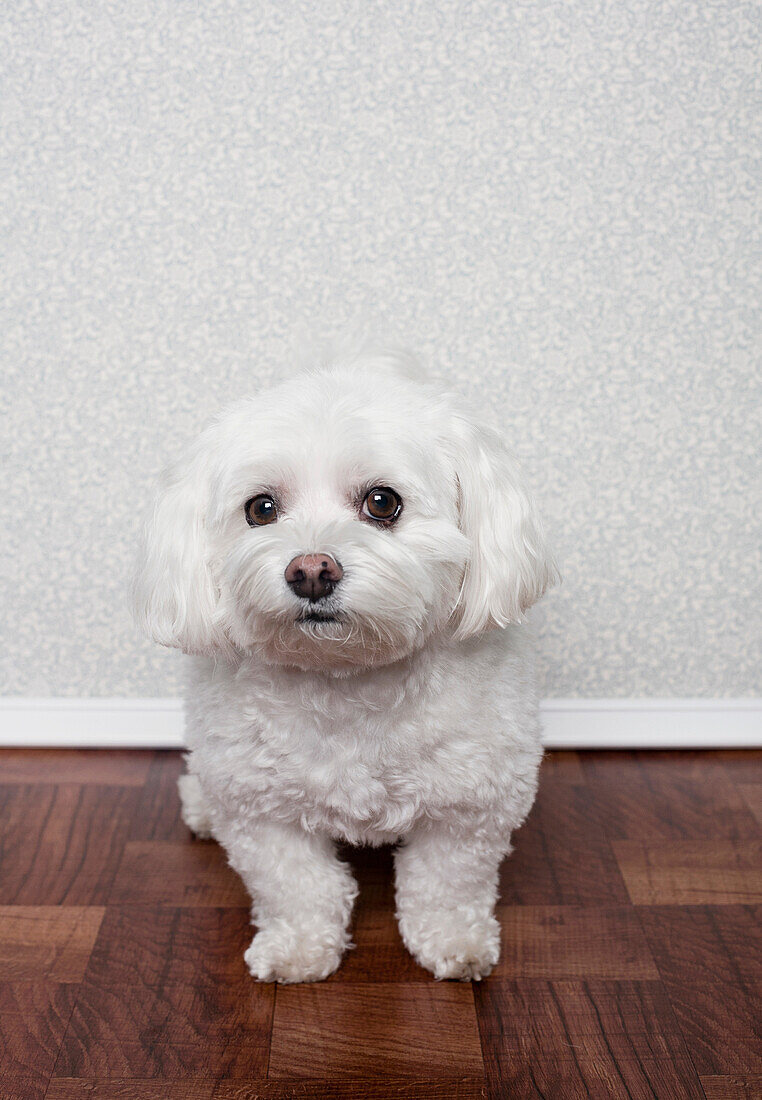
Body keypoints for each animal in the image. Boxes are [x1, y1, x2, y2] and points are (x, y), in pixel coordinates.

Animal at [133, 341, 556, 981]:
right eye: (261, 509)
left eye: (382, 502)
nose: (310, 571)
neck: (347, 682)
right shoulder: (261, 811)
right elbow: (296, 885)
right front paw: (300, 948)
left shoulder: (471, 806)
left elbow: (447, 883)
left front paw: (453, 941)